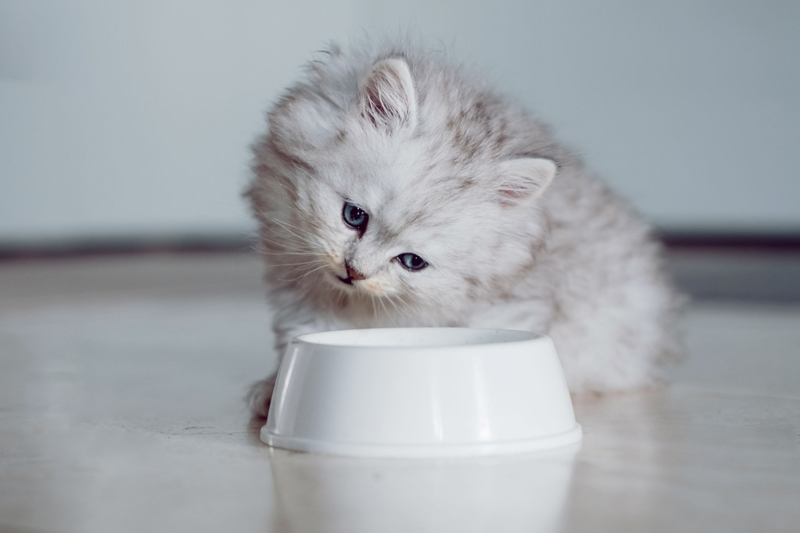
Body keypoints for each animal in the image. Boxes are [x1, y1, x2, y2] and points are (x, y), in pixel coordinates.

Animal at [247, 40, 680, 416]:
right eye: (354, 216)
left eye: (412, 262)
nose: (354, 271)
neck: (353, 303)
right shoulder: (298, 295)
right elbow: (296, 339)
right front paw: (274, 392)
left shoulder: (512, 308)